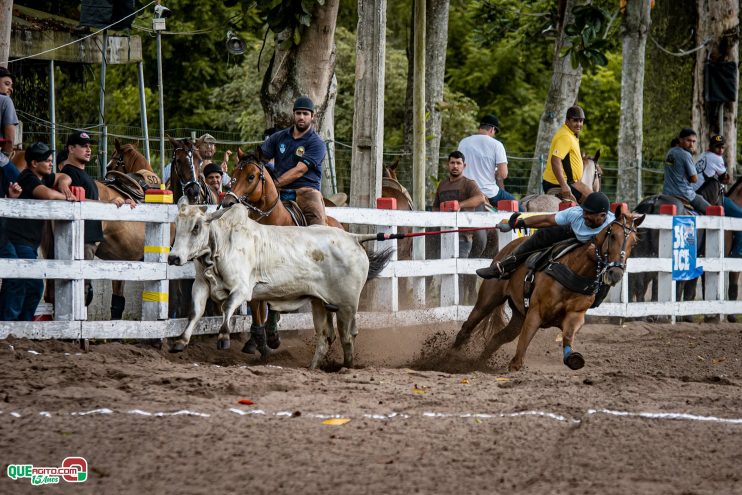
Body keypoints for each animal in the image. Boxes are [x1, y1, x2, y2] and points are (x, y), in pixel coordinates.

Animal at [166, 203, 392, 370]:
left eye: (196, 227)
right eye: (177, 224)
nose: (173, 257)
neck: (222, 244)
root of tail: (353, 238)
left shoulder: (242, 289)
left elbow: (227, 306)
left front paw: (223, 337)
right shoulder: (201, 285)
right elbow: (195, 312)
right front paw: (180, 342)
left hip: (347, 305)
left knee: (347, 336)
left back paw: (347, 367)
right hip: (321, 303)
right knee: (325, 336)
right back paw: (312, 368)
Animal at [454, 205, 644, 372]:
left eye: (634, 243)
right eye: (613, 236)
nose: (616, 273)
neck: (574, 272)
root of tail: (509, 247)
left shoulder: (575, 316)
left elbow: (567, 336)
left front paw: (573, 358)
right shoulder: (535, 313)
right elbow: (522, 346)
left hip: (518, 316)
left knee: (498, 338)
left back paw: (476, 365)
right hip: (488, 299)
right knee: (467, 327)